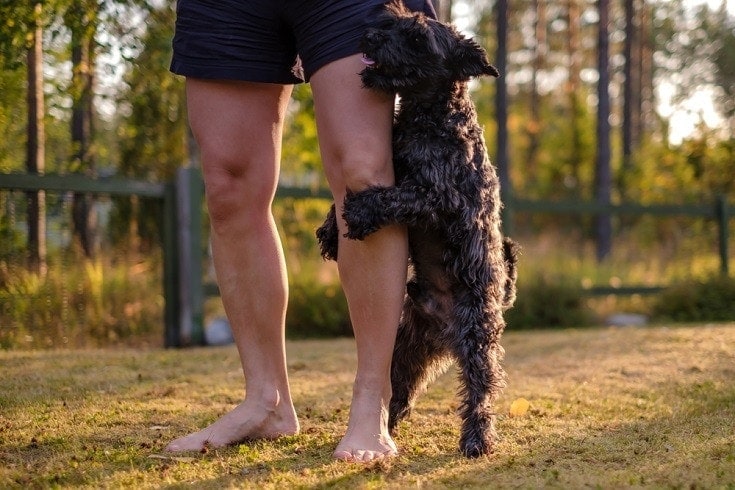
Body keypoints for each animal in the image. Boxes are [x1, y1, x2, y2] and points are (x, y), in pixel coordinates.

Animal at [320, 0, 520, 460]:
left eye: (416, 39)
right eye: (391, 21)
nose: (370, 36)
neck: (427, 115)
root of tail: (445, 330)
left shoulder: (439, 196)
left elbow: (393, 196)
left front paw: (358, 212)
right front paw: (330, 230)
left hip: (477, 341)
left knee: (480, 393)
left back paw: (476, 440)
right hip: (406, 348)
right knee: (401, 392)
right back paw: (385, 428)